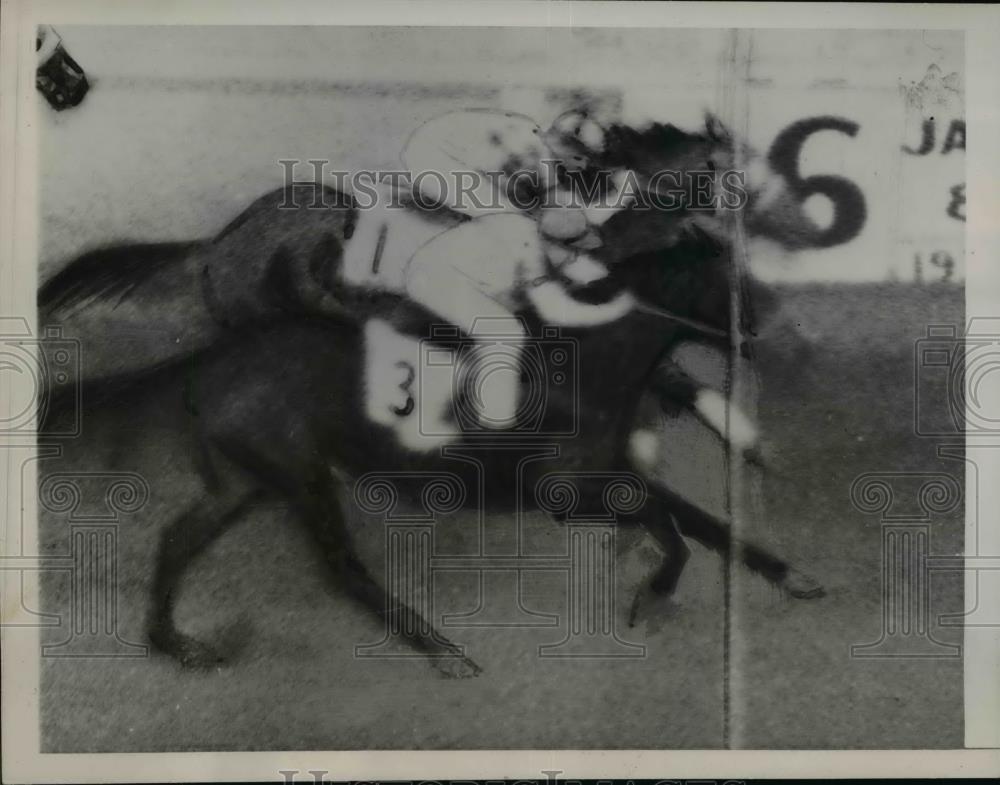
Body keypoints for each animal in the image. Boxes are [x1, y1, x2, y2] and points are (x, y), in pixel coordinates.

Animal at [37, 132, 820, 676]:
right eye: (718, 278)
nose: (763, 328)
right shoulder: (565, 492)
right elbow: (669, 521)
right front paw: (653, 597)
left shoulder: (612, 465)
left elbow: (700, 516)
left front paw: (788, 565)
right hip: (297, 470)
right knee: (339, 568)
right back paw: (445, 651)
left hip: (246, 478)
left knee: (179, 539)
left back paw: (179, 644)